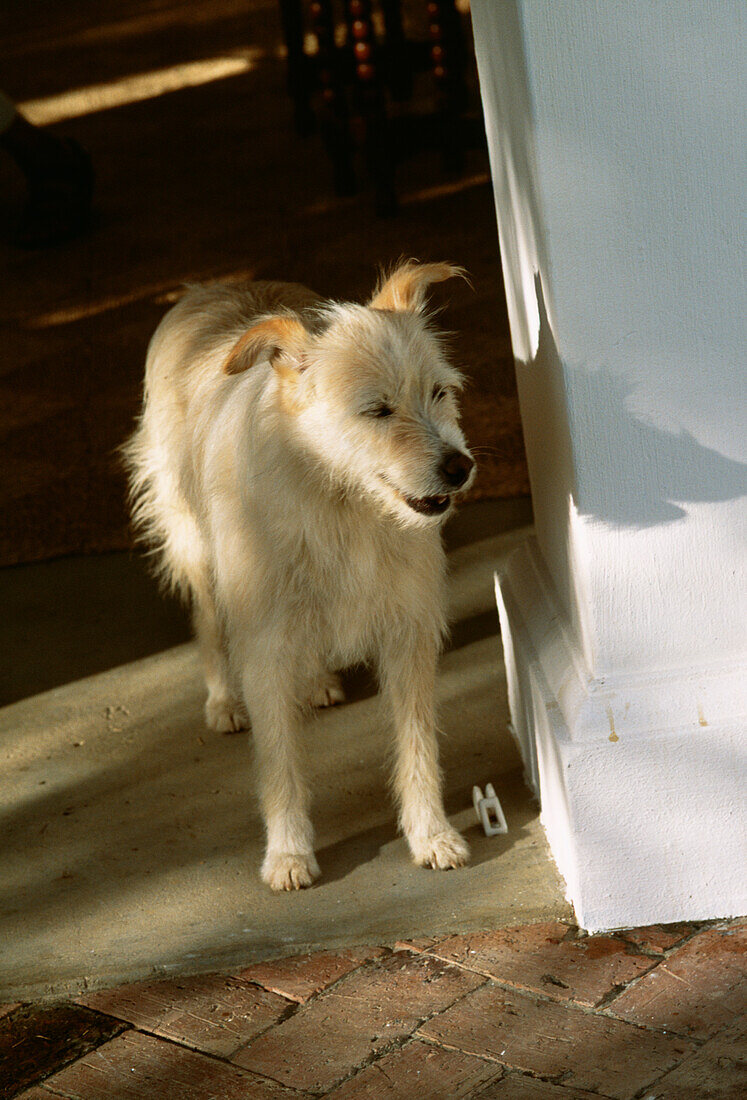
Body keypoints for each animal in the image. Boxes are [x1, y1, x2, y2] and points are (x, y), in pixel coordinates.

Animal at [121, 261, 473, 888]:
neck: (341, 501)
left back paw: (316, 680)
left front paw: (431, 833)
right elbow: (279, 758)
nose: (461, 468)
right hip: (193, 541)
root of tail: (211, 286)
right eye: (377, 410)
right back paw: (223, 700)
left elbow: (418, 746)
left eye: (438, 392)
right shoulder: (264, 645)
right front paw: (287, 852)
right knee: (208, 621)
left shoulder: (408, 634)